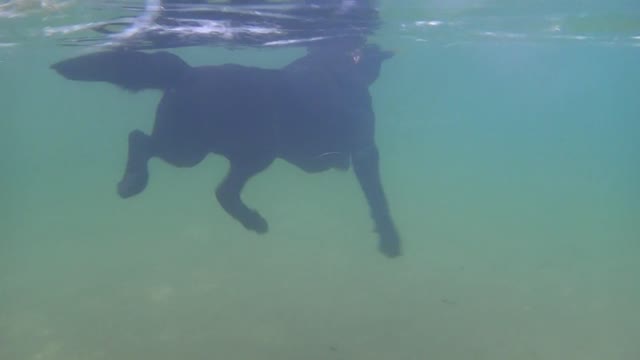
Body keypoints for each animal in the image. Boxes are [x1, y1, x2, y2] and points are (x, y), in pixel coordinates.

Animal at [51, 45, 400, 258]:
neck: (337, 66)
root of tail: (187, 71)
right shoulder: (366, 150)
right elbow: (378, 198)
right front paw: (390, 240)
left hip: (209, 149)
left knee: (148, 144)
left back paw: (131, 182)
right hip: (212, 151)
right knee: (207, 181)